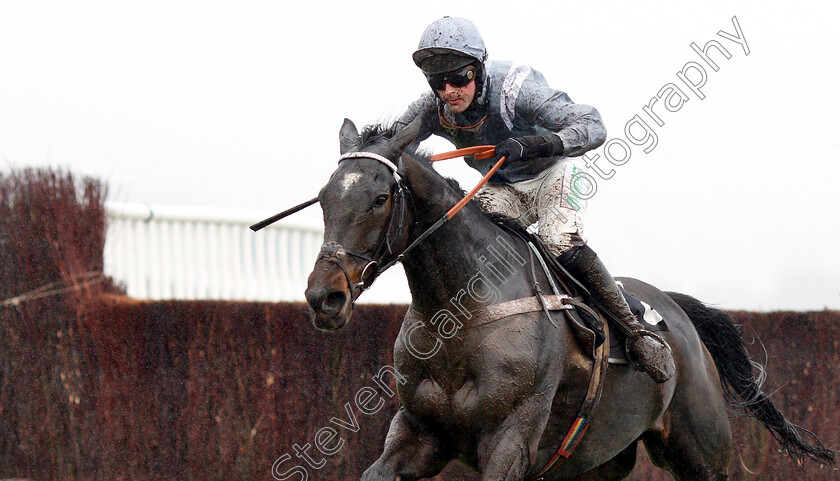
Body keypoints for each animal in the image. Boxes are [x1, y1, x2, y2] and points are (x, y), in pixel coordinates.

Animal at [304, 117, 832, 480]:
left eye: (379, 199)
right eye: (324, 198)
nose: (323, 296)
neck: (459, 315)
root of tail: (676, 309)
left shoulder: (511, 439)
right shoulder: (417, 432)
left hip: (702, 451)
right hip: (597, 460)